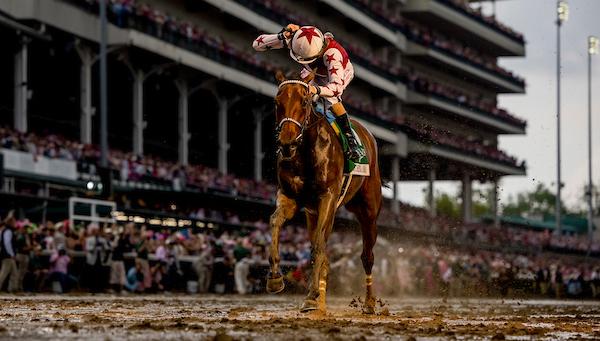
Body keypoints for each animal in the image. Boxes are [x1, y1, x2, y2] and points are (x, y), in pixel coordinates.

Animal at [266, 71, 382, 314]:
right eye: (276, 102)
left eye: (304, 101)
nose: (287, 142)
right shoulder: (290, 197)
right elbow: (275, 222)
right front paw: (275, 279)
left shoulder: (327, 197)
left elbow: (319, 245)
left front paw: (311, 296)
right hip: (313, 213)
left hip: (368, 212)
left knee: (367, 256)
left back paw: (369, 303)